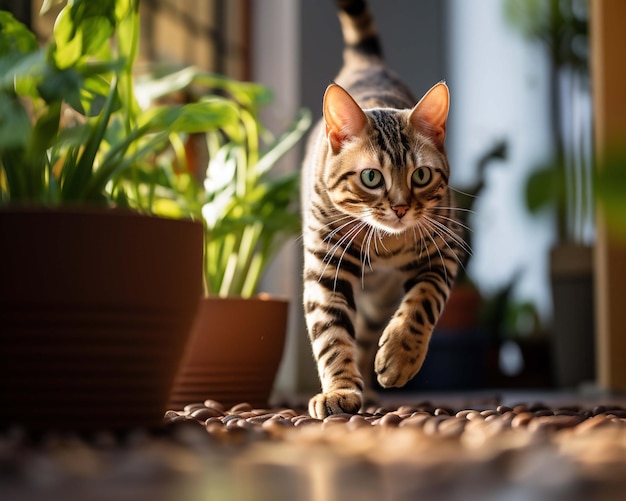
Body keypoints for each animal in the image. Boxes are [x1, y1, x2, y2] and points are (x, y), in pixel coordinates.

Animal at [300, 0, 466, 418]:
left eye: (420, 175)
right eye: (372, 177)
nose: (401, 208)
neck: (387, 242)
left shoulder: (444, 251)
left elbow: (424, 301)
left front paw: (400, 356)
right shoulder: (326, 267)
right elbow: (332, 333)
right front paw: (339, 390)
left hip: (379, 300)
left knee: (368, 331)